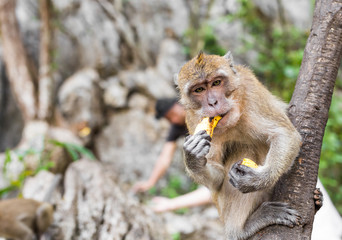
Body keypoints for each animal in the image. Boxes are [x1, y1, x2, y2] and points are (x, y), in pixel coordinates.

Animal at [175, 51, 304, 239]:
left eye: (216, 83)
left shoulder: (251, 91)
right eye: (199, 90)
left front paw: (257, 180)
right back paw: (241, 229)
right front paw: (193, 157)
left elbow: (284, 134)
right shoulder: (193, 118)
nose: (212, 102)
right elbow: (218, 177)